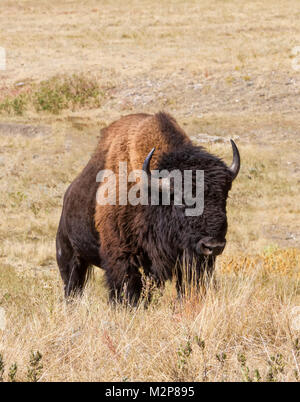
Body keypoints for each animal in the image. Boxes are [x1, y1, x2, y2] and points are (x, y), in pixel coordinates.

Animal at [55, 111, 239, 304]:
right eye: (181, 199)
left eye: (224, 196)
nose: (213, 245)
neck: (152, 194)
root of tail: (68, 196)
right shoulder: (123, 259)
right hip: (69, 258)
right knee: (72, 286)